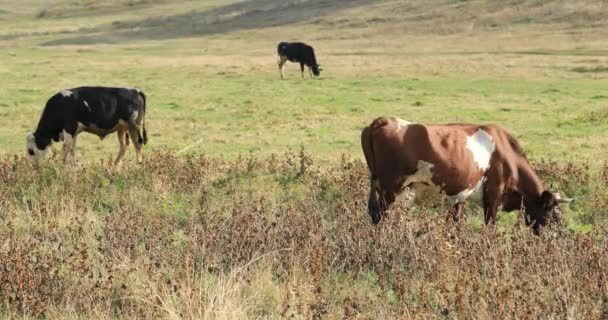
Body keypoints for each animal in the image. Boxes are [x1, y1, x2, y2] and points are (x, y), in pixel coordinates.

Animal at [360, 117, 576, 232]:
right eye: (554, 213)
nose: (562, 235)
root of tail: (381, 121)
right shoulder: (494, 194)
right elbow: (489, 225)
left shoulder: (459, 194)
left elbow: (456, 219)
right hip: (391, 190)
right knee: (382, 217)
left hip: (376, 185)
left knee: (373, 213)